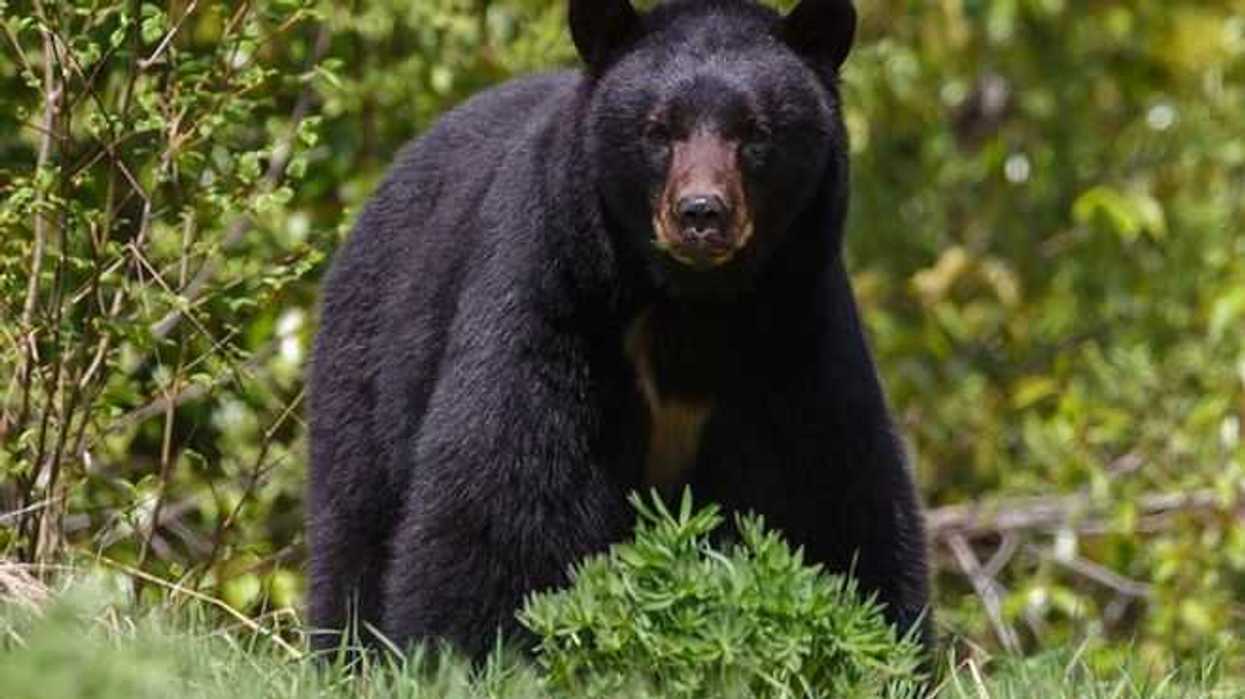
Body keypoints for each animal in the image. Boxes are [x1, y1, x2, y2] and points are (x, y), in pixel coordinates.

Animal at [308, 0, 931, 660]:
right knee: (356, 518)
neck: (692, 306)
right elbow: (504, 483)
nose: (701, 214)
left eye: (755, 132)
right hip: (371, 353)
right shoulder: (554, 295)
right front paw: (463, 651)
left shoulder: (795, 328)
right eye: (658, 130)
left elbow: (832, 491)